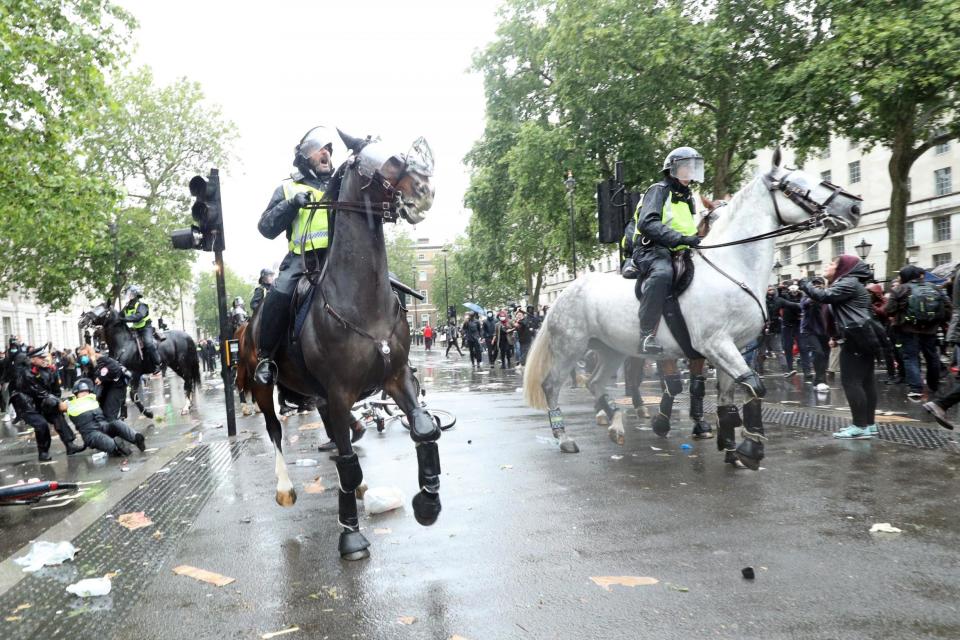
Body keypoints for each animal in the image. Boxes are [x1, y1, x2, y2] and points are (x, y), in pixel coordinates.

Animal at [238, 130, 436, 560]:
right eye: (384, 161)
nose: (426, 190)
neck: (361, 301)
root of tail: (248, 325)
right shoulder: (342, 391)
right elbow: (346, 459)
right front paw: (350, 536)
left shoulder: (396, 376)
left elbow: (425, 428)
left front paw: (428, 502)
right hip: (264, 389)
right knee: (275, 430)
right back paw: (286, 489)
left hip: (320, 393)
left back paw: (359, 489)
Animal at [524, 151, 864, 470]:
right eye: (795, 185)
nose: (854, 207)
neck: (731, 267)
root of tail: (564, 293)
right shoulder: (714, 344)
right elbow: (753, 386)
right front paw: (750, 448)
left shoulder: (733, 348)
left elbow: (731, 395)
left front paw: (731, 447)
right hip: (571, 347)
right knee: (551, 385)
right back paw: (565, 437)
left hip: (611, 349)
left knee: (595, 383)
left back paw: (616, 424)